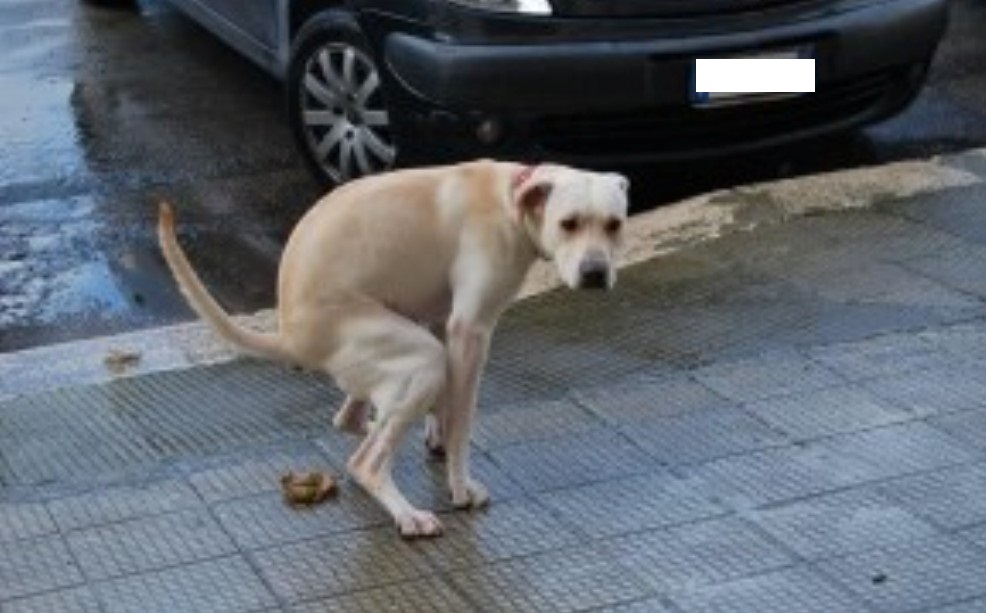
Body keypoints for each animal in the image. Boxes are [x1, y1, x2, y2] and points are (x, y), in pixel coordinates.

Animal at [158, 158, 628, 536]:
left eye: (614, 224)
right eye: (568, 223)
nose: (594, 274)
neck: (511, 202)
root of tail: (289, 336)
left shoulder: (442, 321)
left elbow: (449, 411)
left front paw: (438, 438)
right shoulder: (470, 331)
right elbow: (463, 421)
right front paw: (460, 485)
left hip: (404, 348)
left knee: (351, 420)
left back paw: (378, 430)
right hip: (421, 361)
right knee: (365, 463)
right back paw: (408, 513)